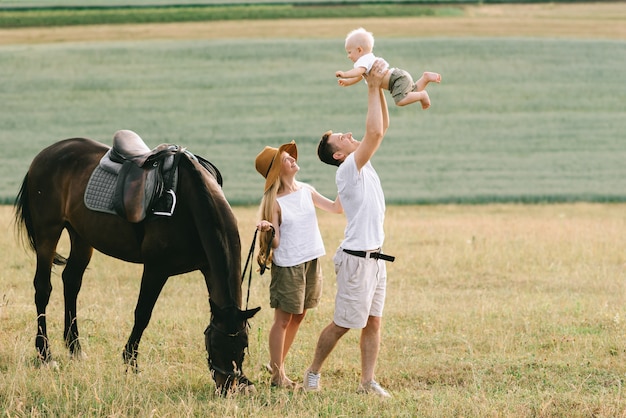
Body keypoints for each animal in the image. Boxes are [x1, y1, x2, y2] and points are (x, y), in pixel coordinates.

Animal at [13, 133, 260, 396]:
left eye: (243, 345)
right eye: (217, 344)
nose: (228, 387)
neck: (190, 203)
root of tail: (46, 154)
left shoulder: (208, 268)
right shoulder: (156, 269)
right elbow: (142, 314)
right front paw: (131, 363)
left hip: (81, 236)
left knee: (71, 282)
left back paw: (75, 349)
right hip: (47, 233)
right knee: (43, 289)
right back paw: (45, 354)